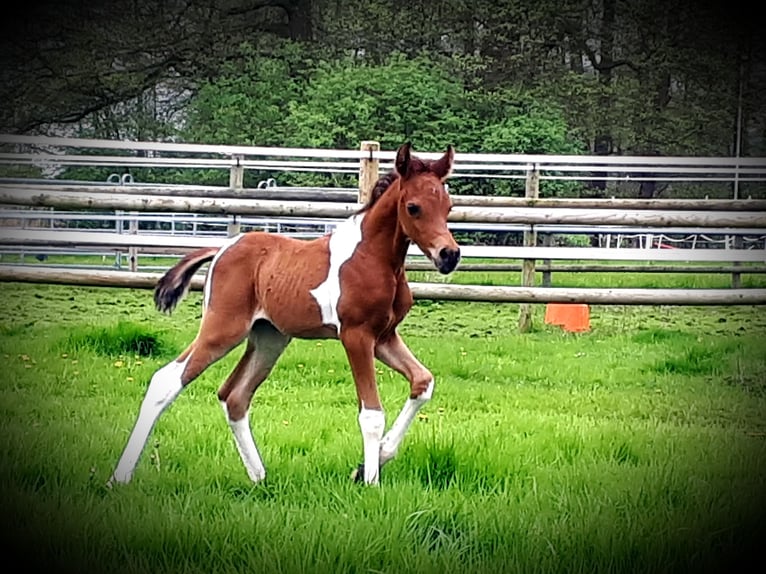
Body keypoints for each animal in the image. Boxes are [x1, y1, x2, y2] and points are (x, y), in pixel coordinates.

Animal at [109, 143, 462, 486]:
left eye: (448, 206)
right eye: (413, 207)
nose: (450, 255)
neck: (372, 258)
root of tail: (221, 249)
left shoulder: (385, 337)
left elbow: (422, 382)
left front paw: (366, 466)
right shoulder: (356, 336)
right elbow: (371, 414)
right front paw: (371, 483)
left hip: (269, 338)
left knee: (234, 396)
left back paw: (259, 477)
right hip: (222, 329)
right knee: (167, 380)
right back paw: (120, 477)